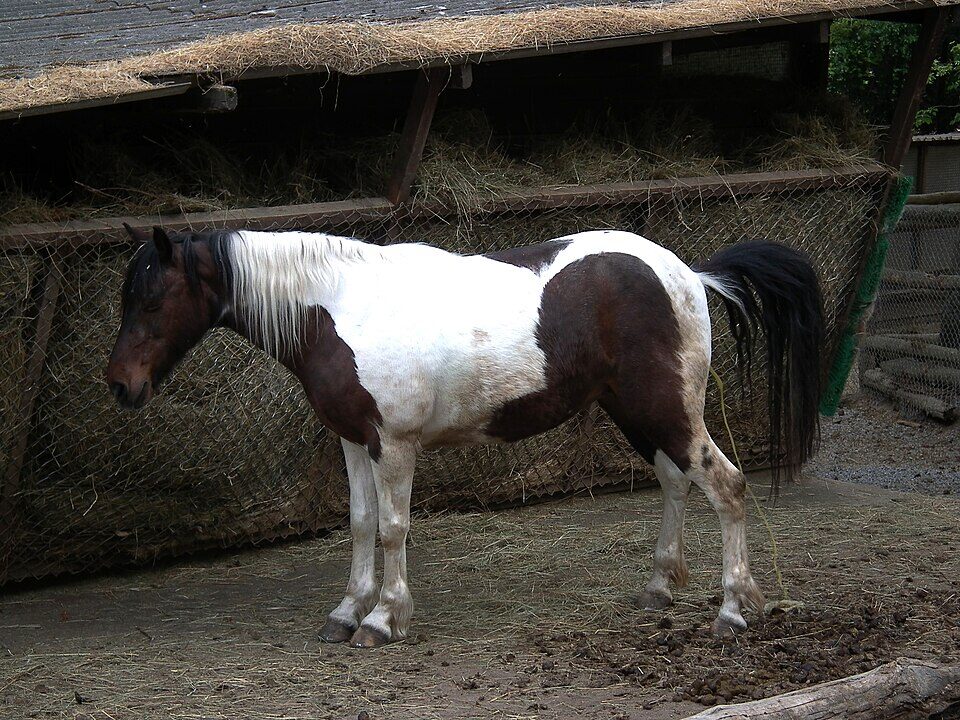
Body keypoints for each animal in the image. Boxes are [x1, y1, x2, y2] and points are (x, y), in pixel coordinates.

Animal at [106, 225, 823, 648]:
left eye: (151, 300)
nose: (119, 386)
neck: (341, 305)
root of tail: (691, 276)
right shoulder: (352, 440)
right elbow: (361, 524)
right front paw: (346, 611)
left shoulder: (393, 444)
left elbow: (393, 530)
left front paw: (383, 618)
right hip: (639, 412)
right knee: (676, 481)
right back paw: (659, 588)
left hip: (667, 410)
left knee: (726, 486)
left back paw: (733, 610)